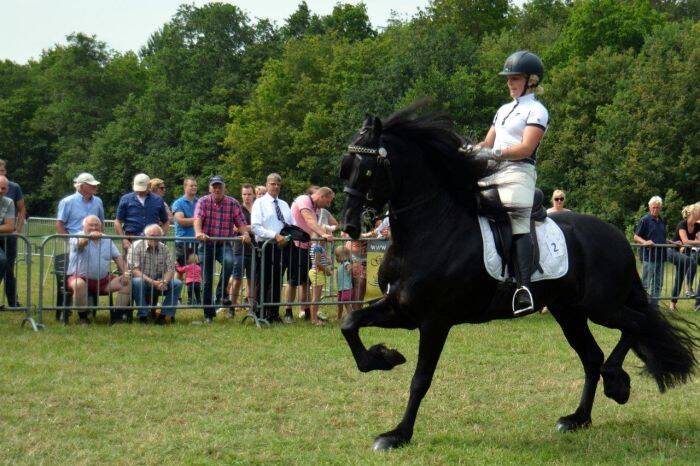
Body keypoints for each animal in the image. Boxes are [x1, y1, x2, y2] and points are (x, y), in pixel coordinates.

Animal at [338, 102, 696, 452]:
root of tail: (618, 238)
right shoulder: (401, 309)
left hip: (601, 307)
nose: (349, 226)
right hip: (569, 312)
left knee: (635, 325)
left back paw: (616, 382)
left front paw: (397, 435)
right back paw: (578, 418)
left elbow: (420, 380)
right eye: (346, 165)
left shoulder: (434, 321)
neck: (430, 230)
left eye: (367, 168)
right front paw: (384, 357)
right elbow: (350, 323)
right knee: (592, 356)